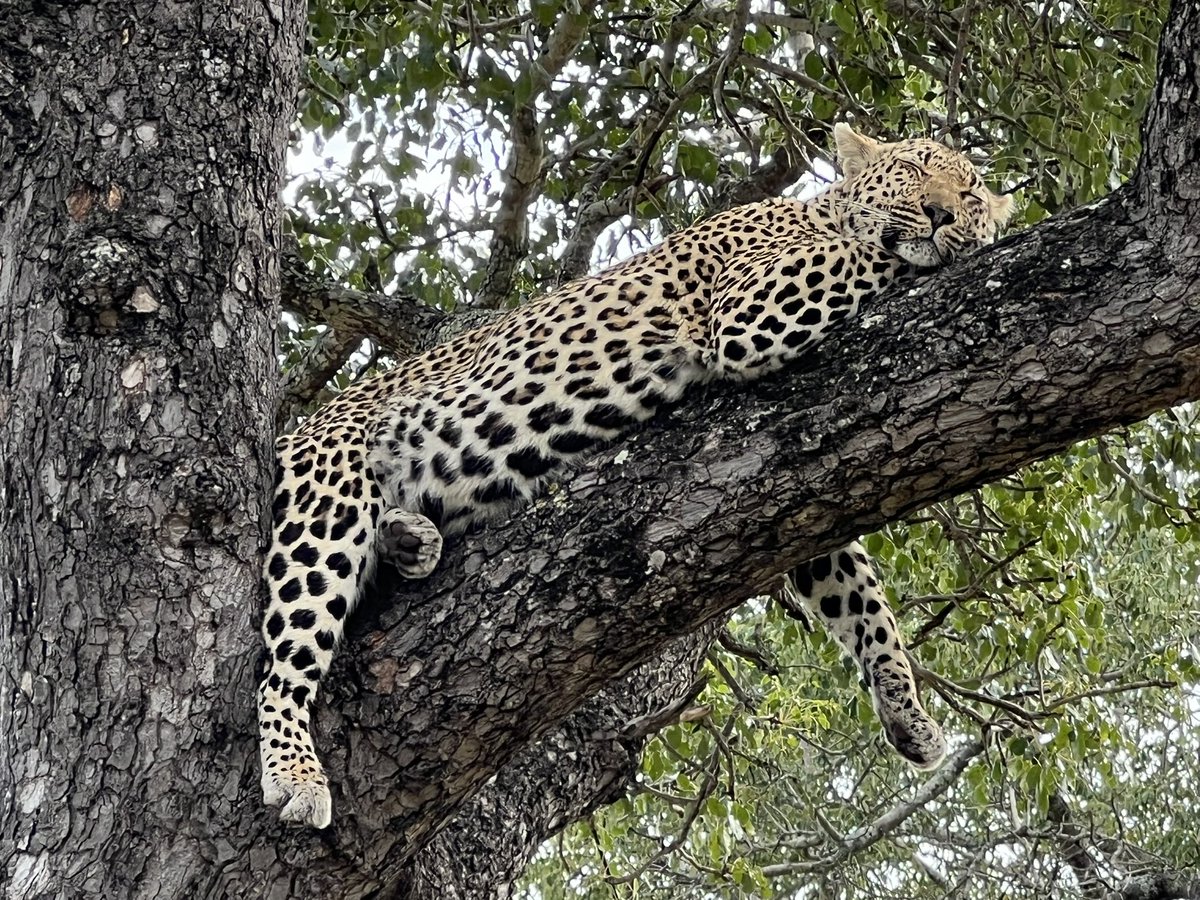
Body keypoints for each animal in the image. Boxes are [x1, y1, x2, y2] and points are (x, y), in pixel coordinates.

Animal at [260, 125, 1012, 830]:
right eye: (912, 169)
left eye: (971, 189)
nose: (945, 212)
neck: (817, 209)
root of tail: (296, 429)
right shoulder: (750, 309)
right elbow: (876, 252)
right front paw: (955, 244)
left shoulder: (812, 498)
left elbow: (862, 600)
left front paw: (908, 712)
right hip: (324, 492)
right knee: (282, 663)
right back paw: (295, 774)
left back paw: (410, 538)